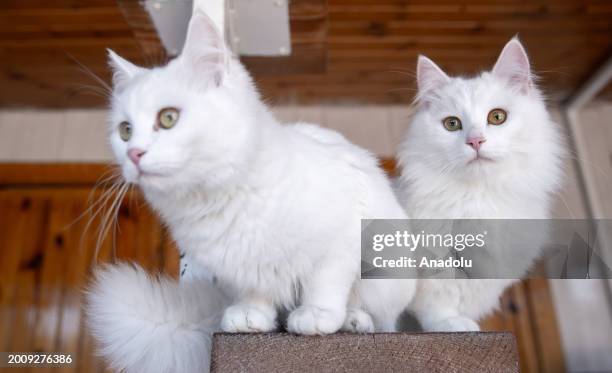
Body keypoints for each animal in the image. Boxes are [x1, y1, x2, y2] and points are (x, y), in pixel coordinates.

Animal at [86, 10, 416, 372]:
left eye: (168, 118)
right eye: (125, 131)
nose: (134, 154)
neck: (218, 199)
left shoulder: (338, 243)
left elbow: (324, 285)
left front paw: (316, 316)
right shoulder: (238, 267)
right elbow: (257, 291)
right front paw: (251, 316)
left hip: (386, 273)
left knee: (381, 318)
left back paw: (354, 320)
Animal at [396, 38, 564, 332]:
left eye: (497, 117)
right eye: (452, 124)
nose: (475, 141)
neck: (479, 198)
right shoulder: (431, 270)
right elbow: (436, 304)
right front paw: (451, 325)